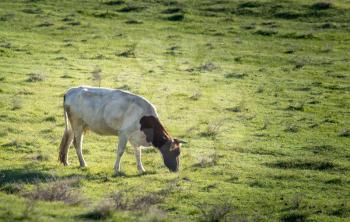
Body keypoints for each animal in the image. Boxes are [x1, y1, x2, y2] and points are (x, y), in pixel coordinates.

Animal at [57, 86, 186, 173]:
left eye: (179, 153)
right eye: (174, 152)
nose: (176, 169)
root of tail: (71, 91)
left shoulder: (135, 137)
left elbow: (138, 153)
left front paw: (141, 169)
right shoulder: (124, 133)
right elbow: (120, 151)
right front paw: (116, 168)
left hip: (73, 126)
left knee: (68, 142)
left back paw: (66, 162)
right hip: (78, 124)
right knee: (77, 144)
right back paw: (83, 163)